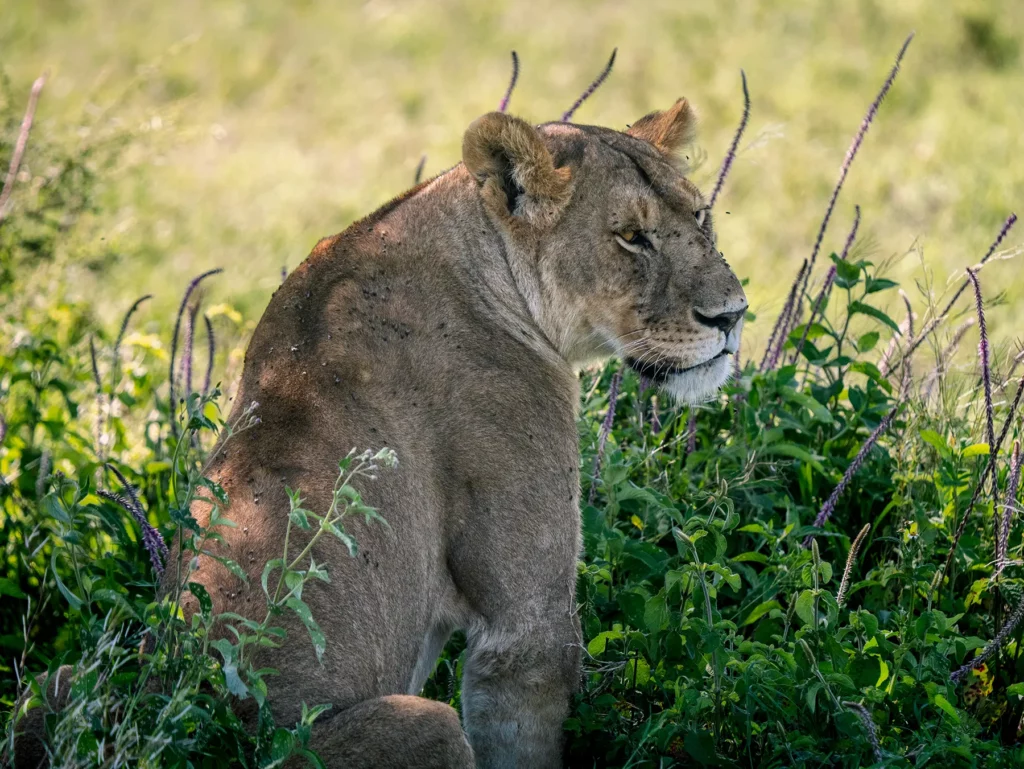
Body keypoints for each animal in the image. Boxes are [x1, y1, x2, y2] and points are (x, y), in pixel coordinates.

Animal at [12, 99, 745, 768]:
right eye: (630, 236)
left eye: (699, 216)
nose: (734, 315)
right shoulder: (525, 622)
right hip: (425, 725)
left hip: (55, 685)